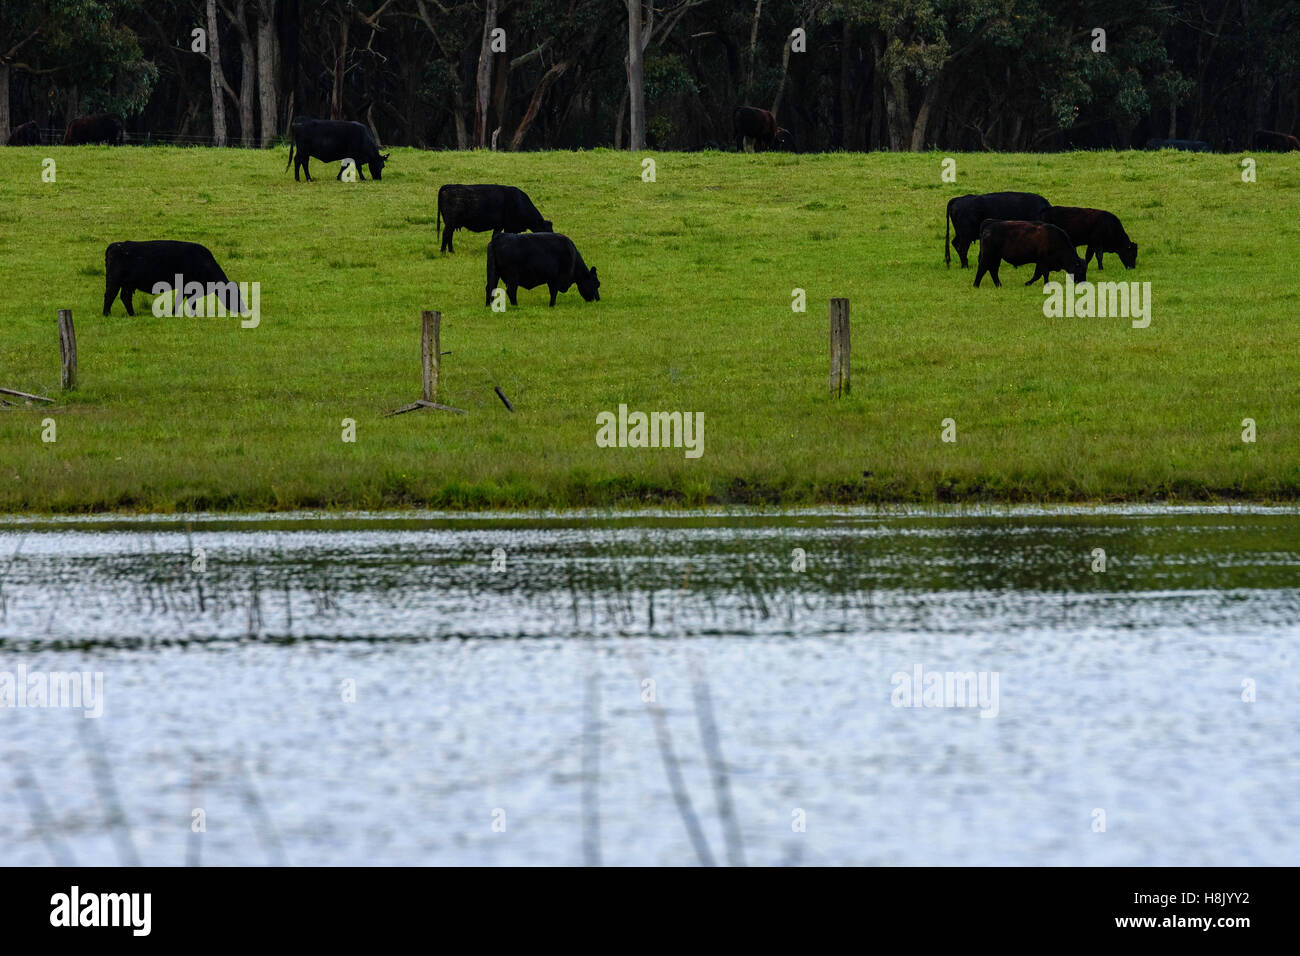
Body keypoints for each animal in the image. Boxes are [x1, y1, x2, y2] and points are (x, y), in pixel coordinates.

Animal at [103, 241, 243, 316]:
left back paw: (132, 314)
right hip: (114, 281)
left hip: (128, 284)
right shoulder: (189, 287)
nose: (243, 309)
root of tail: (116, 245)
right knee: (110, 295)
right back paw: (106, 314)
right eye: (233, 294)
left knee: (125, 297)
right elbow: (187, 301)